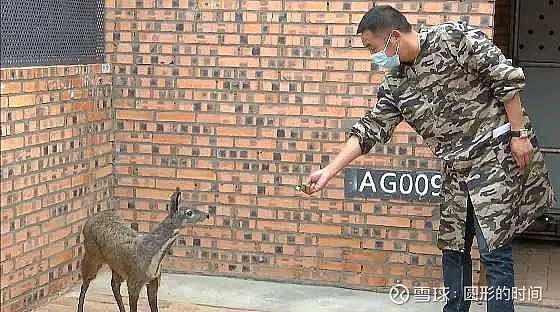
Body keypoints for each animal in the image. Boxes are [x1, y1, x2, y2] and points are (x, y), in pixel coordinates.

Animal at [77, 188, 210, 312]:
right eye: (189, 212)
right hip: (92, 255)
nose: (207, 215)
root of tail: (87, 222)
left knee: (114, 285)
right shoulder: (134, 281)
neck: (150, 254)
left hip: (116, 266)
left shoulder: (154, 279)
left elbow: (154, 307)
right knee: (85, 282)